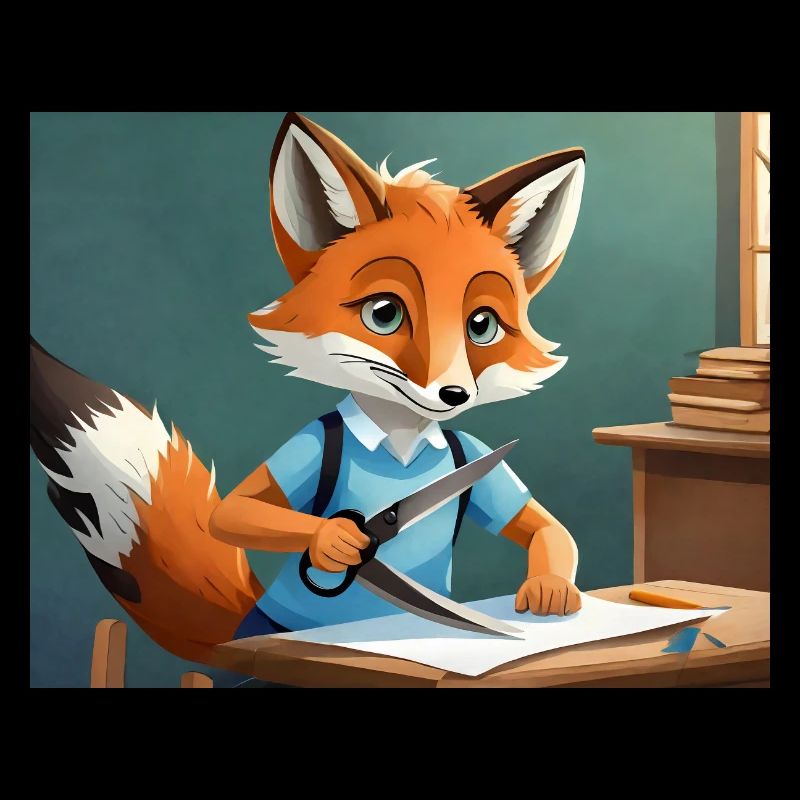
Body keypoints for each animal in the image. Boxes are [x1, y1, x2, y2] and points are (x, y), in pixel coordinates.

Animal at [30, 112, 586, 666]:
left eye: (482, 326)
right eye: (384, 314)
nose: (454, 396)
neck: (400, 433)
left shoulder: (473, 450)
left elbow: (544, 526)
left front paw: (550, 590)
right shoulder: (310, 447)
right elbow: (236, 511)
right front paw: (333, 538)